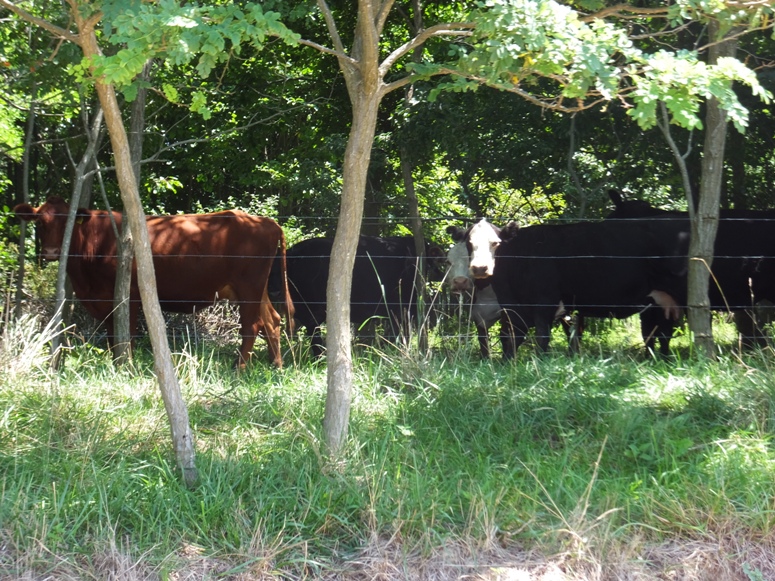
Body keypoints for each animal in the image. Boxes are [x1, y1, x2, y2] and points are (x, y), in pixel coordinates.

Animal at [14, 197, 294, 368]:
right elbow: (112, 334)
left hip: (249, 286)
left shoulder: (128, 295)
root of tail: (267, 222)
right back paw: (276, 365)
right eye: (40, 223)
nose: (51, 252)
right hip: (254, 288)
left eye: (69, 224)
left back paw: (239, 367)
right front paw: (116, 362)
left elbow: (126, 334)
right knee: (271, 321)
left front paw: (125, 365)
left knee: (252, 325)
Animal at [461, 218, 684, 357]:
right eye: (469, 244)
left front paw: (538, 363)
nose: (480, 268)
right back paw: (656, 360)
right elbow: (510, 337)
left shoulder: (544, 301)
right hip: (656, 302)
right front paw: (507, 364)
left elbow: (542, 336)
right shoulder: (513, 308)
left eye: (496, 243)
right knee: (657, 332)